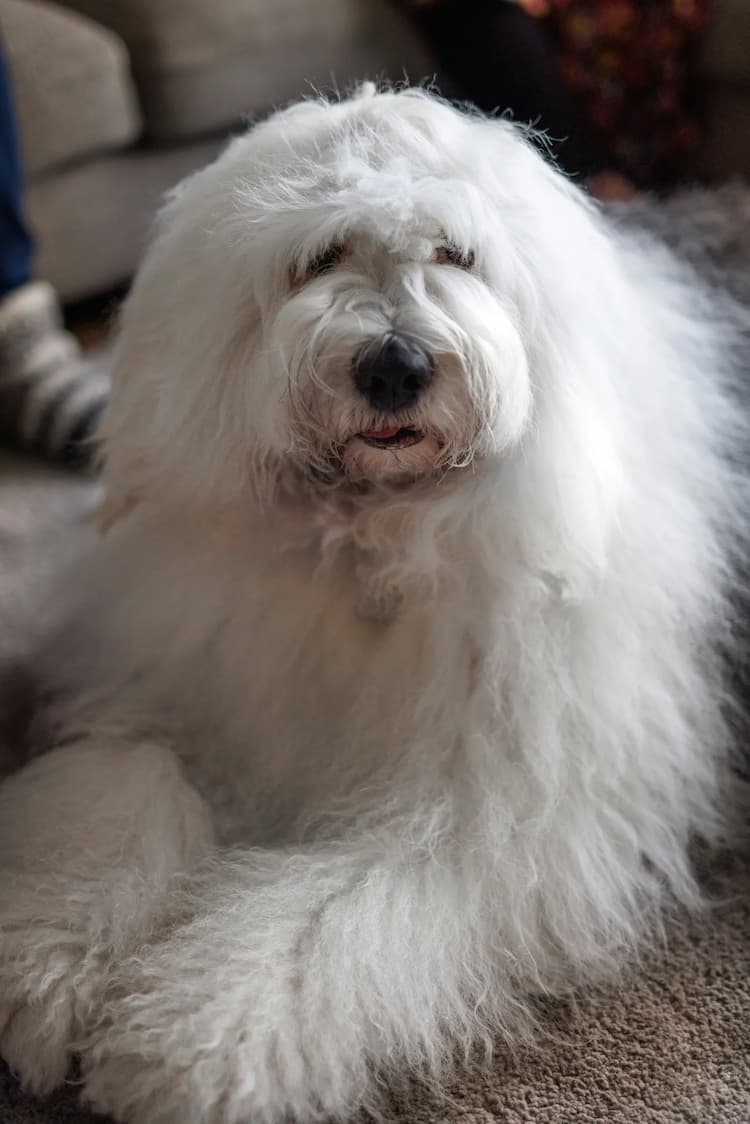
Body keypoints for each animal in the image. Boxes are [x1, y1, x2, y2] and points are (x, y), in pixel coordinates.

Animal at [1, 87, 750, 1124]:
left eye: (456, 253)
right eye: (320, 256)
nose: (394, 366)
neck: (370, 547)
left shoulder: (482, 816)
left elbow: (327, 914)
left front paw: (187, 1045)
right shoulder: (174, 694)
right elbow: (122, 790)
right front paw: (46, 965)